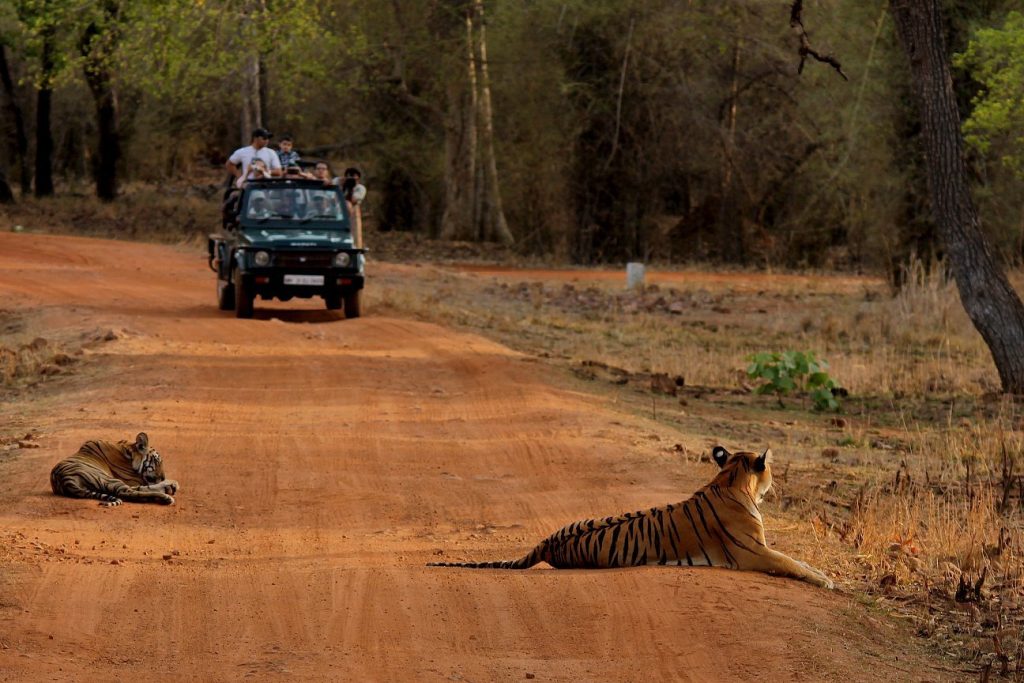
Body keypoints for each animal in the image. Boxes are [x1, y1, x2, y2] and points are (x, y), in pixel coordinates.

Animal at [50, 436, 180, 505]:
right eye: (157, 461)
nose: (163, 477)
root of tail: (66, 481)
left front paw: (171, 484)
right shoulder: (134, 480)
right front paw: (172, 484)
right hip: (106, 478)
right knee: (128, 492)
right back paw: (166, 497)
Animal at [428, 448, 835, 589]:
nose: (774, 483)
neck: (729, 479)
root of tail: (546, 542)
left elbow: (797, 560)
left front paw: (825, 574)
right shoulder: (754, 552)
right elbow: (792, 564)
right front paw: (828, 582)